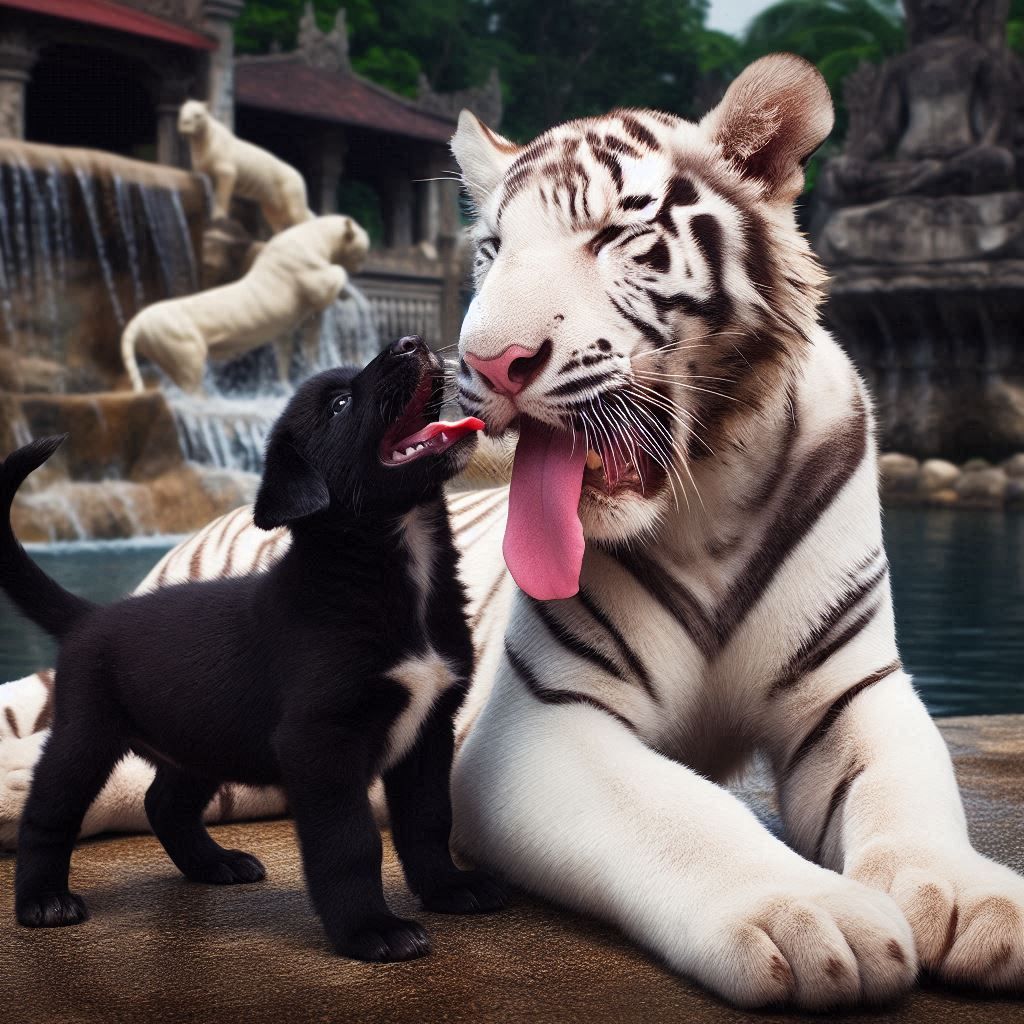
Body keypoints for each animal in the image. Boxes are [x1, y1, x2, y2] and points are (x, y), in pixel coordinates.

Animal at [0, 333, 503, 958]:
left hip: (198, 737)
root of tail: (91, 616)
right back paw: (42, 901)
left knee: (164, 803)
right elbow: (349, 842)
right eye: (339, 404)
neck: (396, 567)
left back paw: (213, 865)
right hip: (85, 735)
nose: (411, 342)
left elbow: (430, 820)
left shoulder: (430, 729)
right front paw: (370, 929)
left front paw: (448, 889)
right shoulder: (320, 741)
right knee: (46, 811)